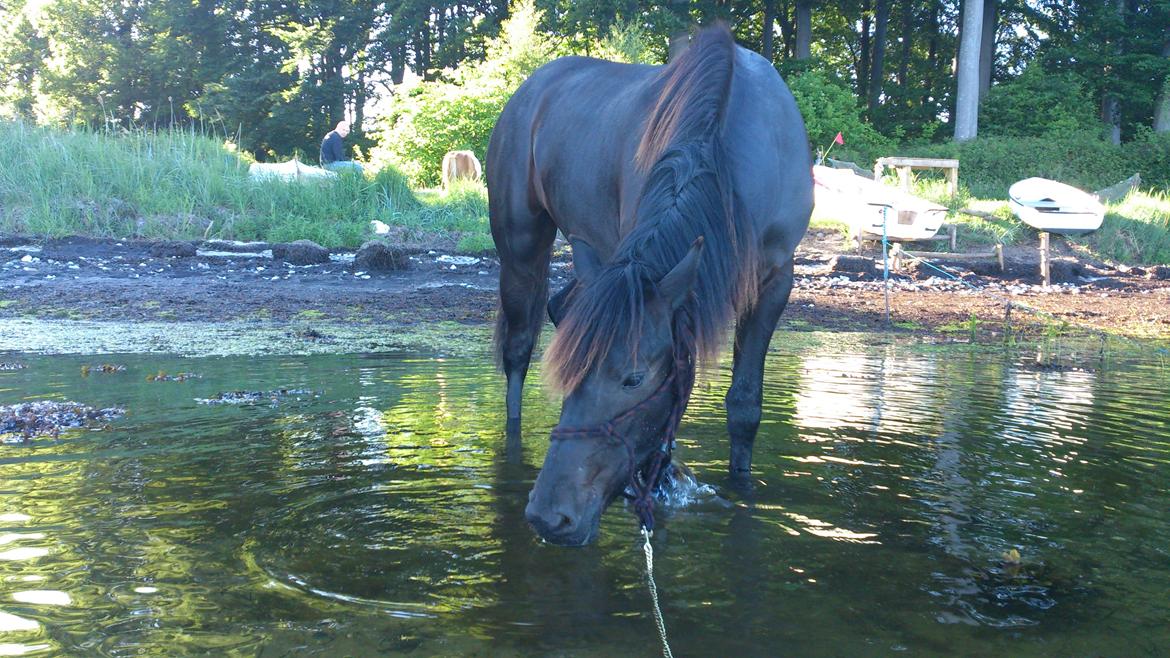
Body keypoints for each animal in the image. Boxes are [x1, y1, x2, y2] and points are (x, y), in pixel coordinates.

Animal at [489, 24, 809, 543]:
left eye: (634, 378)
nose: (549, 515)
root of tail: (531, 88)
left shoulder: (774, 282)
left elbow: (744, 407)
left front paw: (738, 486)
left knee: (560, 307)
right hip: (522, 246)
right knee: (517, 350)